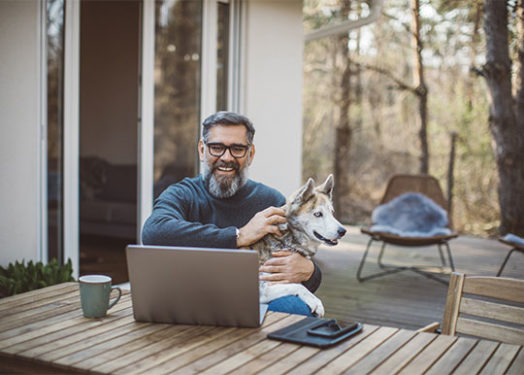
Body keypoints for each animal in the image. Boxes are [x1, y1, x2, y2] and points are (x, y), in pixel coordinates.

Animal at [251, 174, 348, 318]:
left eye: (331, 212)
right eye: (318, 214)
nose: (343, 231)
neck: (286, 240)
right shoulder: (262, 289)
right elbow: (297, 286)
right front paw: (316, 302)